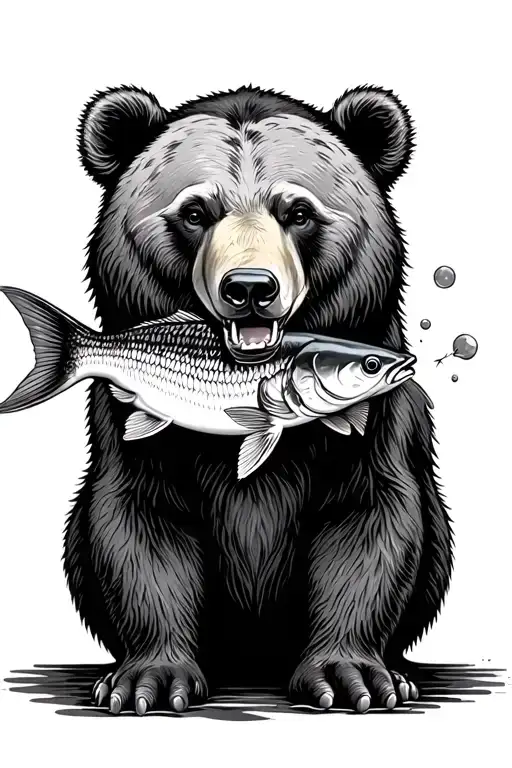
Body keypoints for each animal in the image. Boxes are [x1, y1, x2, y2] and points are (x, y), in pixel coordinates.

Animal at [64, 84, 453, 715]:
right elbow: (141, 525)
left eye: (297, 211)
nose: (249, 288)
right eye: (195, 211)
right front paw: (149, 680)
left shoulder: (377, 426)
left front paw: (355, 677)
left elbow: (368, 522)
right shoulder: (129, 416)